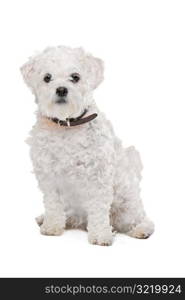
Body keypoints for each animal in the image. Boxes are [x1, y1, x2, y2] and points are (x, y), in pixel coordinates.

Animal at [20, 45, 155, 245]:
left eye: (75, 77)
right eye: (47, 77)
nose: (61, 89)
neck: (67, 126)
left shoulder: (98, 176)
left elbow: (98, 208)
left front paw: (100, 235)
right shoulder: (49, 176)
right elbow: (53, 204)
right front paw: (51, 226)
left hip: (126, 201)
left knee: (139, 218)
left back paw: (141, 229)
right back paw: (46, 219)